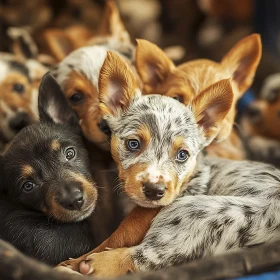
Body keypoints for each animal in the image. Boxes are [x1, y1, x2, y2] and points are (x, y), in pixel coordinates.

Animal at [57, 51, 280, 276]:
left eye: (182, 155)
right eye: (133, 144)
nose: (154, 190)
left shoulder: (146, 214)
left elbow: (120, 234)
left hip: (191, 211)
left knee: (141, 256)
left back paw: (83, 266)